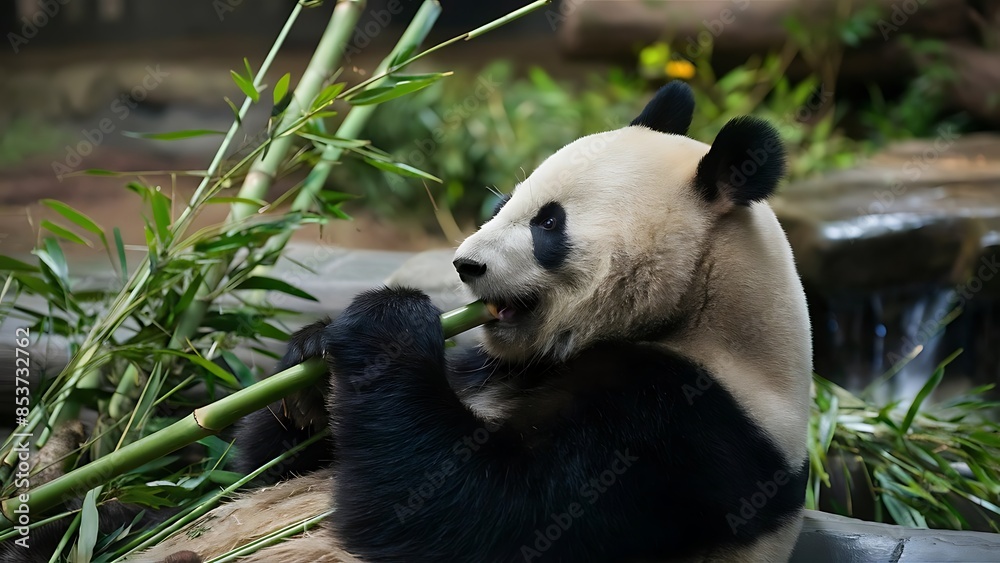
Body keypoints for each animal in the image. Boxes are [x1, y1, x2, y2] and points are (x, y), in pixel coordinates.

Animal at [104, 80, 812, 562]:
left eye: (548, 223)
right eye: (503, 201)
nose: (465, 265)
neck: (704, 318)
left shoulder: (682, 431)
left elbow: (473, 512)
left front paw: (387, 323)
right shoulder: (491, 363)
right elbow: (268, 471)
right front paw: (311, 362)